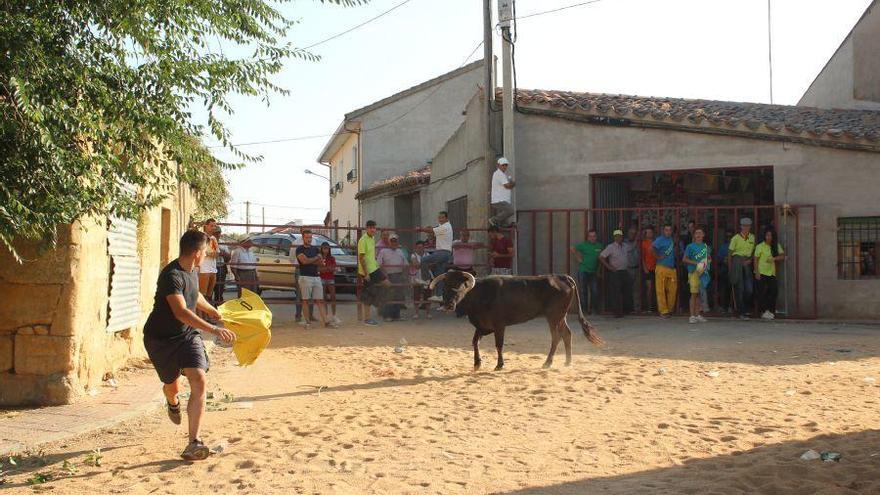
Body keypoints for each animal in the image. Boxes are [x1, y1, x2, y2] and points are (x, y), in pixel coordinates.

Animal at [428, 272, 604, 372]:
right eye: (445, 287)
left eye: (460, 287)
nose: (448, 305)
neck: (480, 294)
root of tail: (562, 277)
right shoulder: (482, 326)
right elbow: (475, 342)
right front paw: (477, 363)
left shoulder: (499, 326)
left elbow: (499, 345)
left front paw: (499, 365)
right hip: (561, 316)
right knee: (567, 334)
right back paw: (567, 362)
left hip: (553, 317)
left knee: (556, 337)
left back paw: (548, 363)